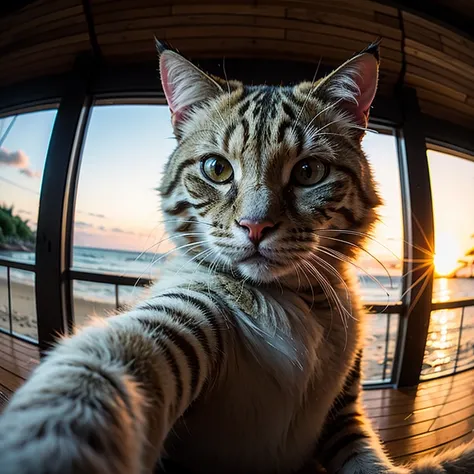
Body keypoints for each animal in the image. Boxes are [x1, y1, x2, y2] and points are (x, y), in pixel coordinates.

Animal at [0, 40, 474, 474]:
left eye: (309, 172)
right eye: (217, 169)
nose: (255, 226)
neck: (302, 305)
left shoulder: (344, 413)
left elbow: (368, 461)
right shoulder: (184, 311)